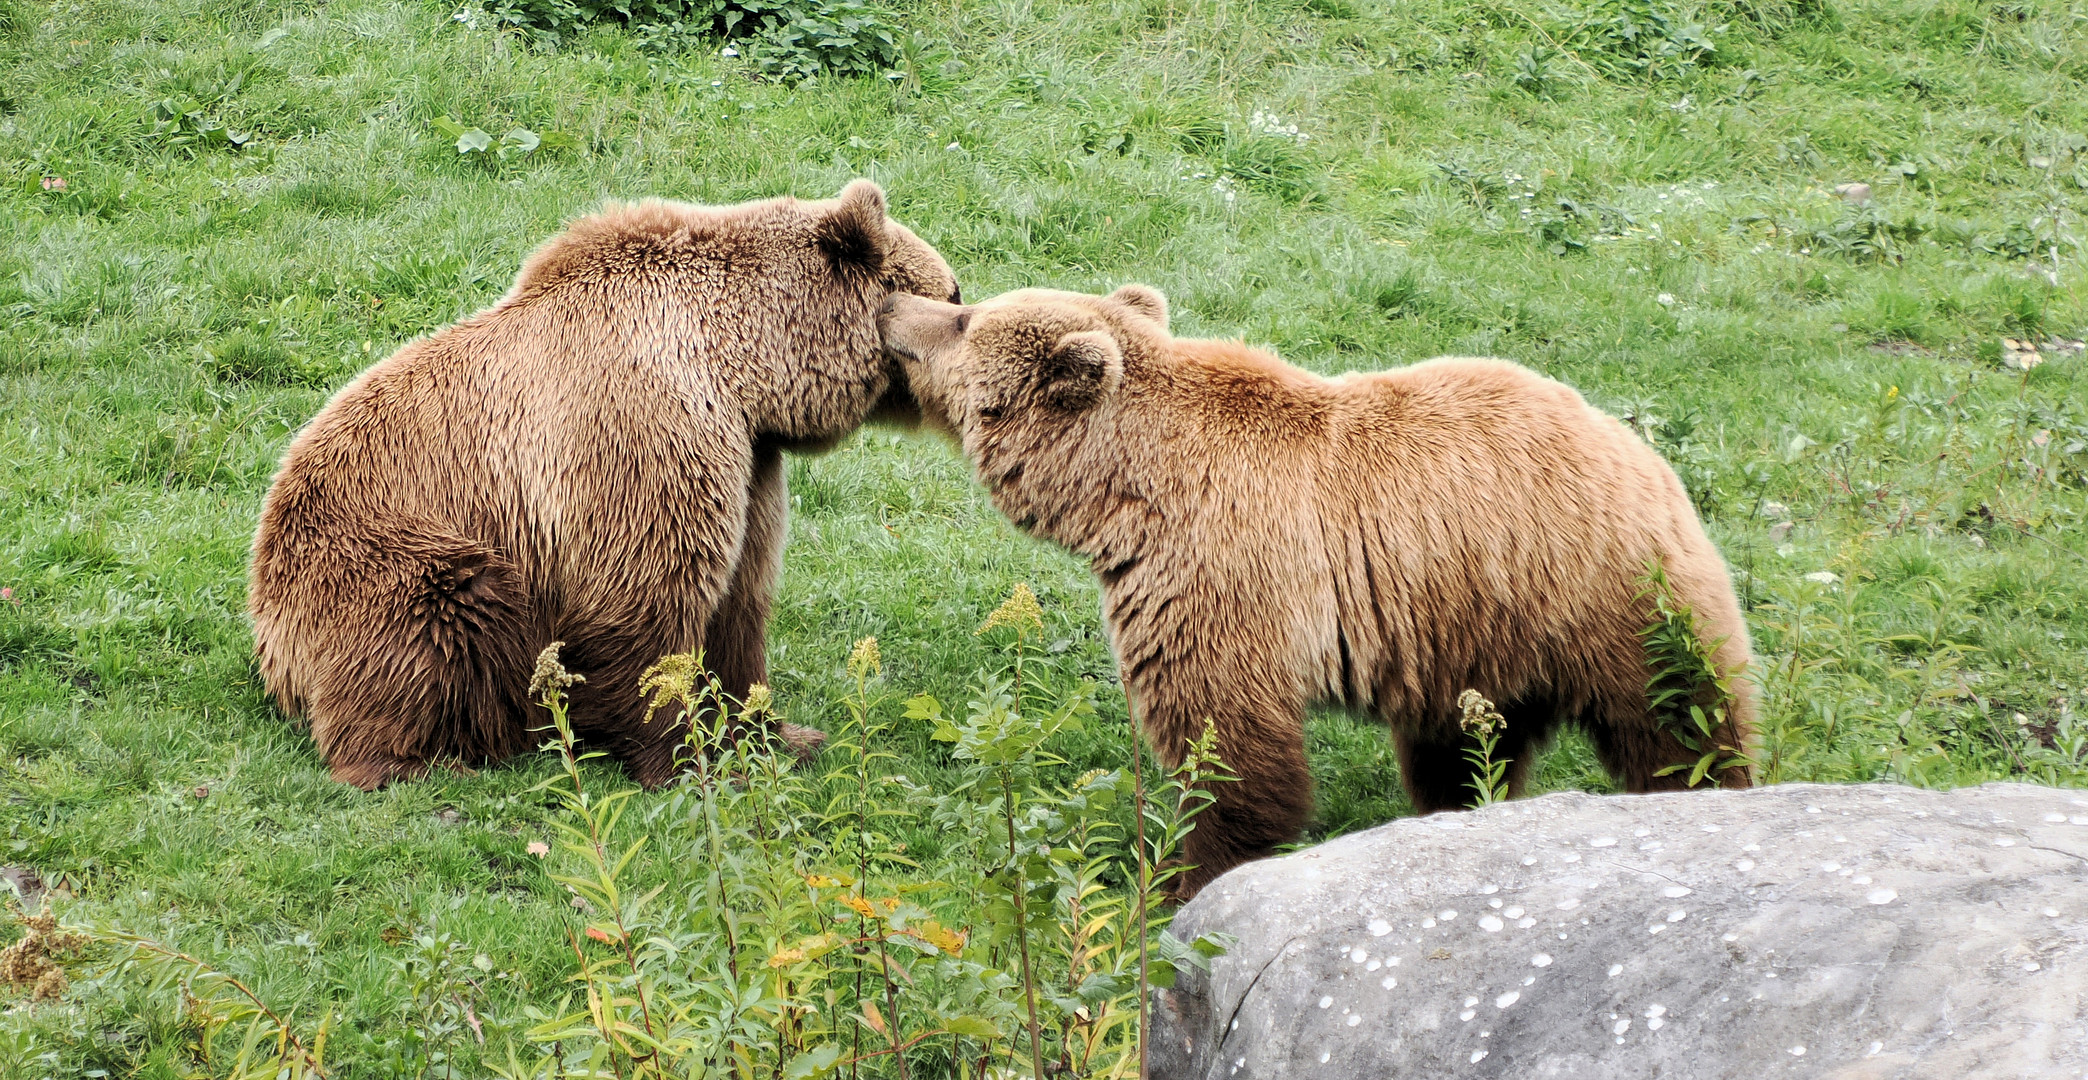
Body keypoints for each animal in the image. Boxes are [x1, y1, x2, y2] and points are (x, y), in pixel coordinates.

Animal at [252, 180, 960, 785]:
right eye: (952, 293)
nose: (965, 304)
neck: (740, 366)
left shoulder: (752, 461)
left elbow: (741, 598)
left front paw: (778, 733)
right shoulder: (641, 429)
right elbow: (649, 597)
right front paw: (680, 758)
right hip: (380, 558)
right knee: (443, 622)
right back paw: (424, 759)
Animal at [872, 282, 1753, 898]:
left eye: (964, 318)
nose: (892, 306)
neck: (1127, 493)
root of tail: (1649, 459)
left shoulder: (1221, 570)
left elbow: (1229, 746)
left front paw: (1189, 882)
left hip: (1605, 598)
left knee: (1682, 724)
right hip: (1473, 637)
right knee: (1459, 750)